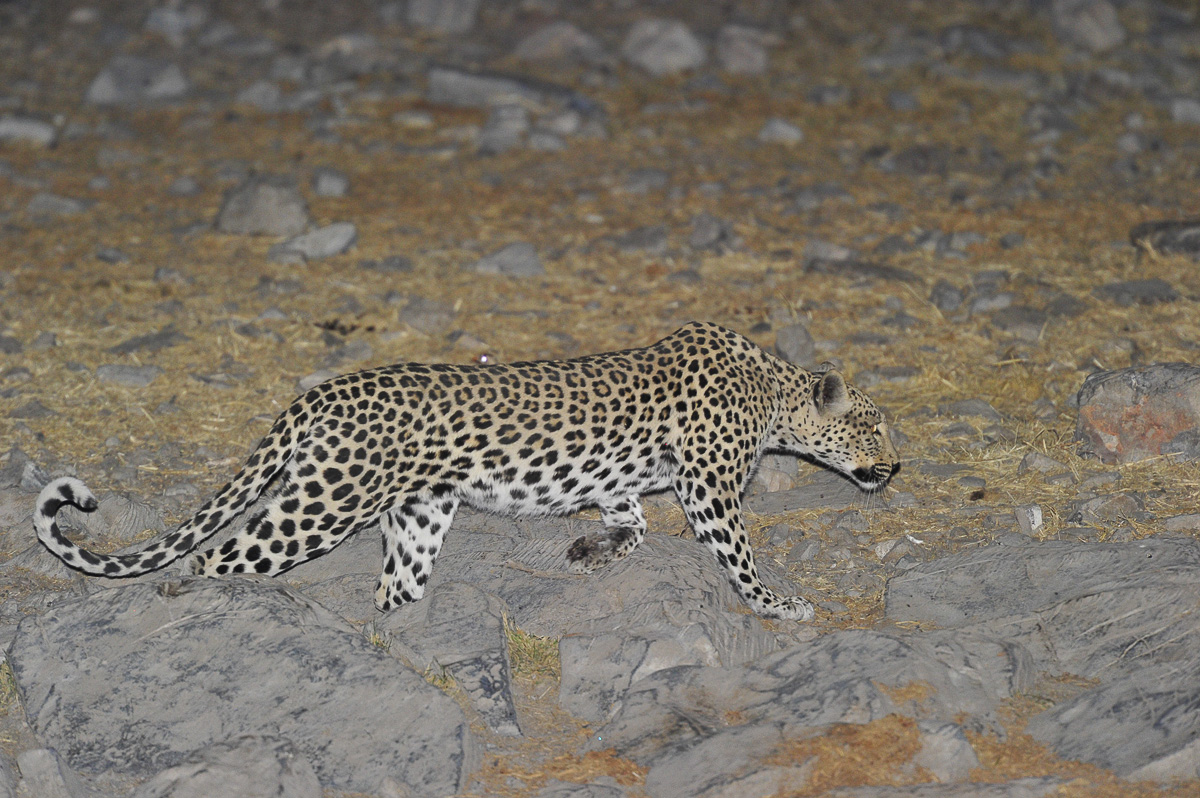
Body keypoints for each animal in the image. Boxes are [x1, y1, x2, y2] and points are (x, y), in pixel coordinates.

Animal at [34, 321, 899, 621]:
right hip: (322, 505)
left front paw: (596, 549)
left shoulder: (627, 481)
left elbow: (631, 518)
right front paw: (781, 603)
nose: (898, 465)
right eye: (877, 422)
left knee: (396, 585)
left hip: (419, 514)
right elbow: (739, 557)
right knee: (216, 557)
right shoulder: (712, 490)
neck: (774, 393)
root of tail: (316, 394)